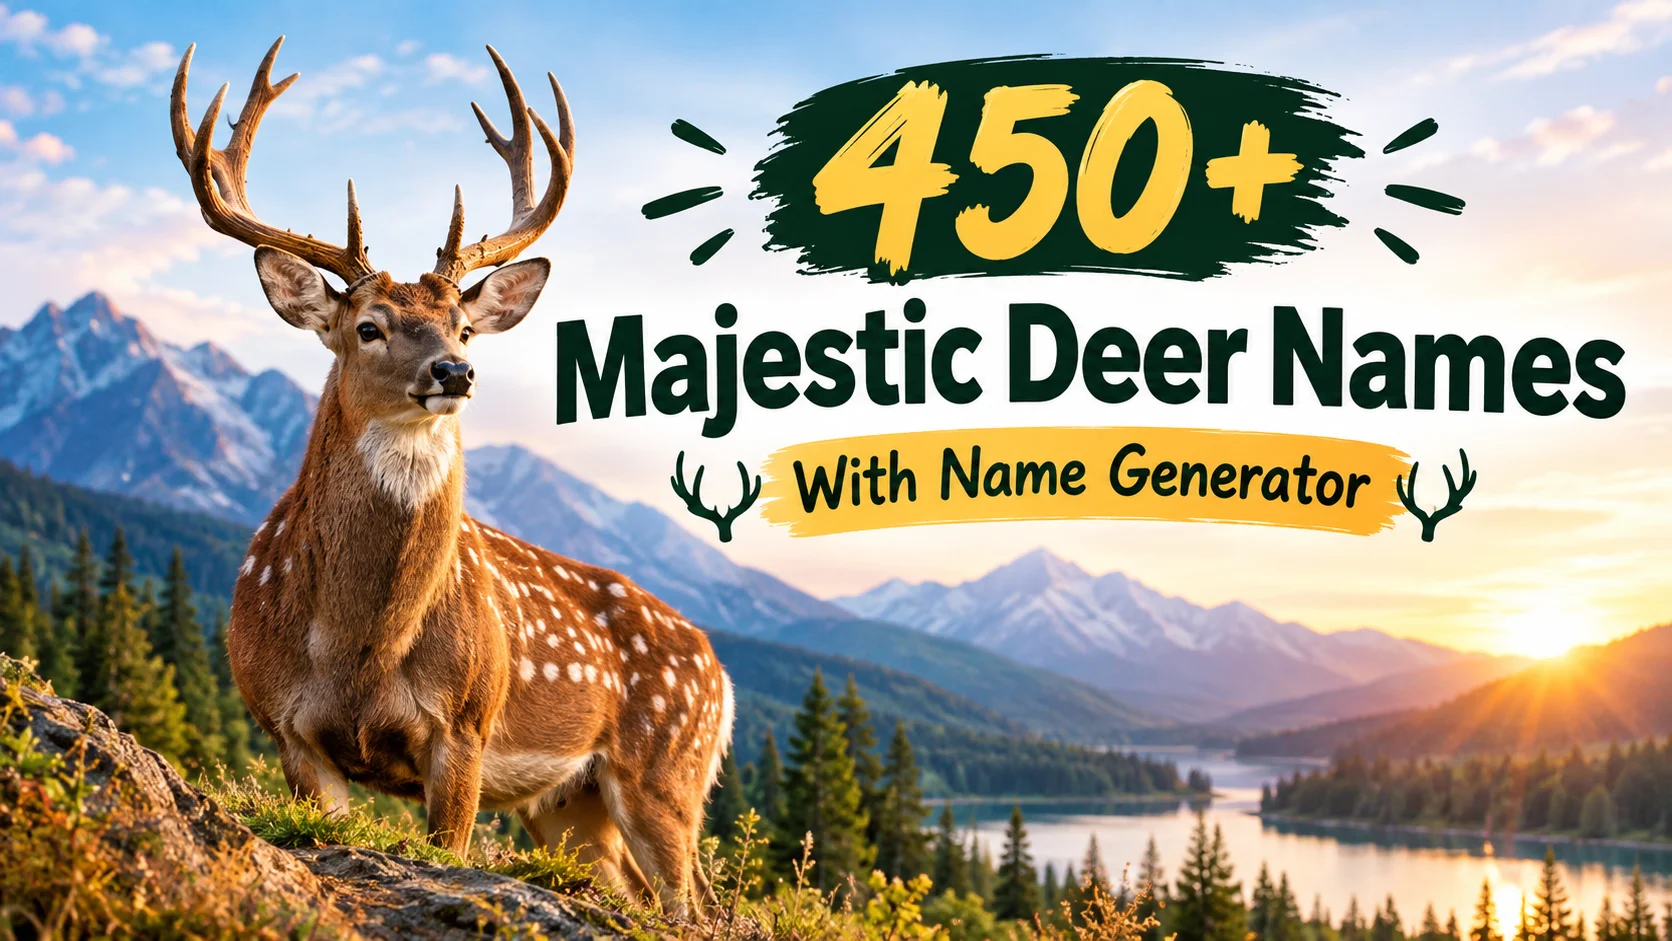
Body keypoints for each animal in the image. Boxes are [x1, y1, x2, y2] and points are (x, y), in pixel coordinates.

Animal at [170, 38, 732, 914]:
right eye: (369, 326)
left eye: (465, 325)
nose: (455, 371)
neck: (357, 645)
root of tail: (720, 670)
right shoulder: (288, 727)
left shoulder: (465, 723)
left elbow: (450, 845)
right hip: (571, 804)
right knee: (639, 888)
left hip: (667, 768)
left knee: (688, 902)